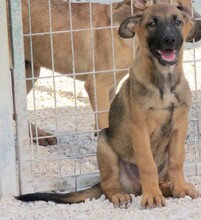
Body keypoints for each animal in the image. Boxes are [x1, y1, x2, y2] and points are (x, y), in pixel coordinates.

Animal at [16, 3, 199, 208]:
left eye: (178, 21)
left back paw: (168, 188)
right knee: (108, 184)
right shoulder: (135, 123)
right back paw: (123, 194)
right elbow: (147, 164)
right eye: (152, 23)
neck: (164, 81)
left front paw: (181, 188)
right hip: (105, 146)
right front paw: (152, 196)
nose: (170, 39)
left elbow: (177, 160)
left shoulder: (179, 125)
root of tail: (135, 186)